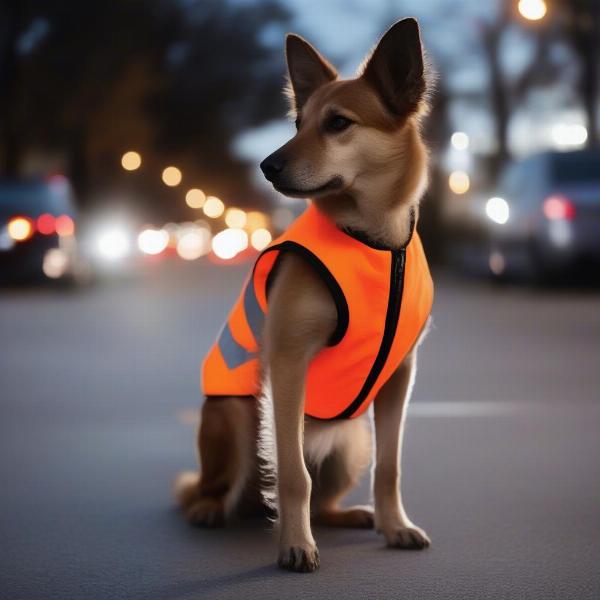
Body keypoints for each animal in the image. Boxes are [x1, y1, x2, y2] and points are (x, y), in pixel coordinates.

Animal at [176, 17, 434, 572]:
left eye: (338, 123)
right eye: (297, 123)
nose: (267, 166)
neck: (375, 240)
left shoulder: (399, 378)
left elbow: (391, 467)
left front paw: (395, 525)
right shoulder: (289, 361)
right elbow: (294, 476)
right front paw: (296, 543)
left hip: (352, 440)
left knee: (325, 499)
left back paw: (351, 515)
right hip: (232, 417)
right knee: (210, 489)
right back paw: (210, 508)